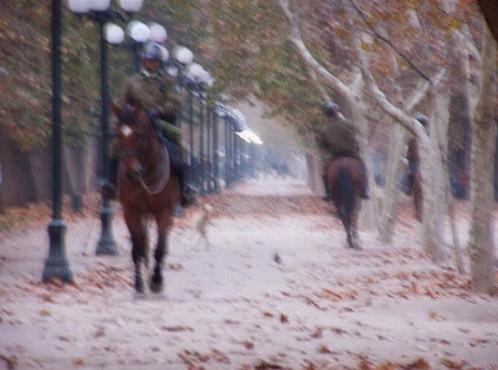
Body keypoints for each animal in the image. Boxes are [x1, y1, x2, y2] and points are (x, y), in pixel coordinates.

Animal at [111, 102, 179, 294]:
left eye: (139, 134)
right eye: (118, 133)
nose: (132, 173)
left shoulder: (163, 211)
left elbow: (160, 248)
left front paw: (156, 280)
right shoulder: (130, 211)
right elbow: (137, 247)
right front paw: (138, 283)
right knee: (143, 242)